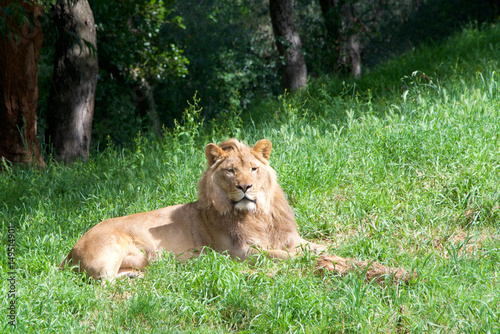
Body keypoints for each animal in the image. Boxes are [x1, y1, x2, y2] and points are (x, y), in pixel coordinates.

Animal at [59, 137, 324, 280]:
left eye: (253, 169)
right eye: (231, 171)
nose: (245, 186)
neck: (257, 214)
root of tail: (68, 254)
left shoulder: (288, 236)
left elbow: (313, 246)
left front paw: (324, 251)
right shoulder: (240, 252)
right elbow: (280, 255)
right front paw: (306, 258)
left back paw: (137, 275)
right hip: (111, 251)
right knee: (104, 282)